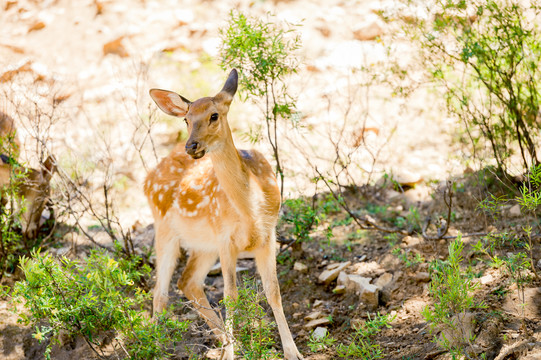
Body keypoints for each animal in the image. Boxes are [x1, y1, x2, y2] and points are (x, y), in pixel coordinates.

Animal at [146, 70, 302, 360]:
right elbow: (230, 295)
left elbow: (273, 291)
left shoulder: (269, 235)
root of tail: (148, 176)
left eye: (214, 115)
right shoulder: (225, 238)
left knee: (187, 281)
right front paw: (230, 354)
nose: (192, 146)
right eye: (186, 119)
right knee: (160, 292)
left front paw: (292, 352)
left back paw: (229, 341)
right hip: (165, 229)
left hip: (203, 245)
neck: (251, 211)